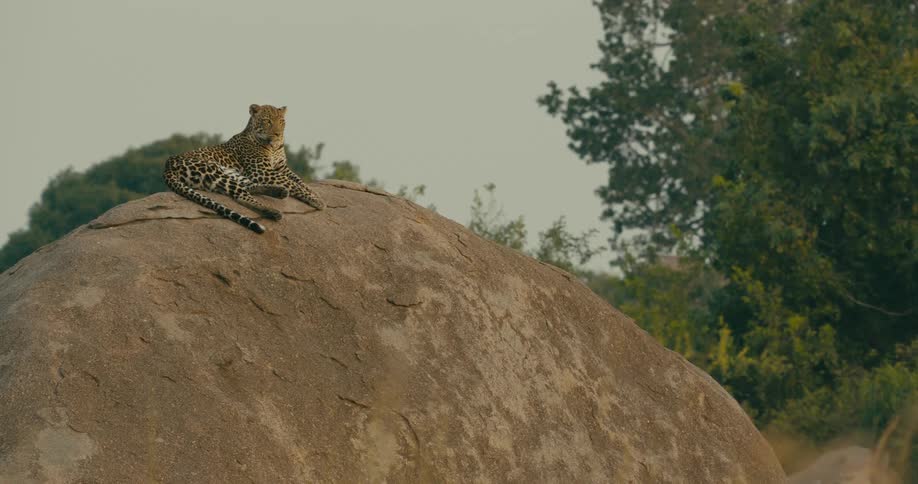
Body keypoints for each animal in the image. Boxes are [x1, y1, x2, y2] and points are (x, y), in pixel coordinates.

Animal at [162, 104, 325, 234]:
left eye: (281, 122)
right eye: (267, 121)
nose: (278, 134)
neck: (273, 147)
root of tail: (167, 164)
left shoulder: (281, 167)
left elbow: (299, 180)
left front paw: (315, 194)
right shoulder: (262, 171)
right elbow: (292, 183)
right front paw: (316, 201)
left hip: (229, 172)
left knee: (248, 186)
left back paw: (279, 192)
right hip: (212, 171)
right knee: (241, 195)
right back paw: (273, 211)